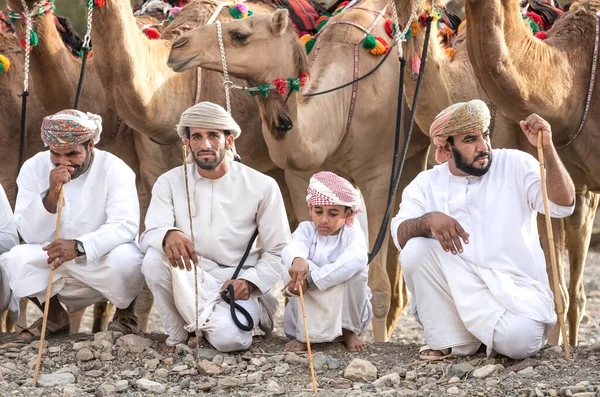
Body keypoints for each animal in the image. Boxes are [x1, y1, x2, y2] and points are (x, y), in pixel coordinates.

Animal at [166, 0, 434, 340]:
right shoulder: (299, 177)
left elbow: (378, 289)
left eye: (239, 34)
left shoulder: (379, 174)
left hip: (413, 152)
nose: (177, 47)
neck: (342, 105)